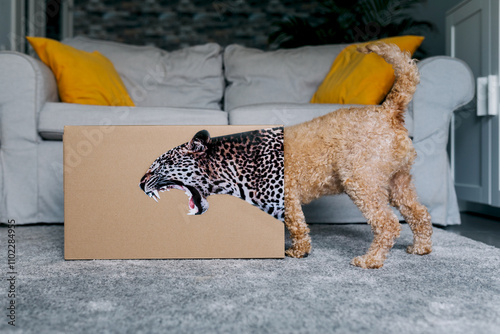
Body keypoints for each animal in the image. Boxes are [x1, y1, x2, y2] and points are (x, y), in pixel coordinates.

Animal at [286, 43, 434, 268]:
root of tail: (388, 111)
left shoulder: (288, 195)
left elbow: (296, 226)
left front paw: (298, 251)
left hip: (360, 179)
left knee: (388, 224)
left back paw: (370, 259)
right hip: (398, 181)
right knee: (419, 213)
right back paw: (421, 247)